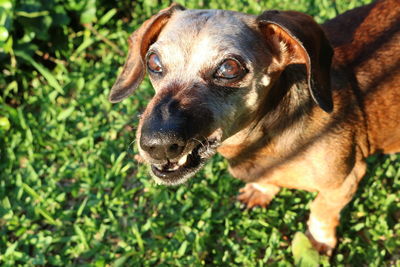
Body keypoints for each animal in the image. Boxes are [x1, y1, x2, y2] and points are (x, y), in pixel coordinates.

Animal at [108, 0, 398, 255]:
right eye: (153, 62)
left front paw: (318, 241)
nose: (156, 144)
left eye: (229, 68)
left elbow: (320, 211)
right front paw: (261, 190)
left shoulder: (344, 181)